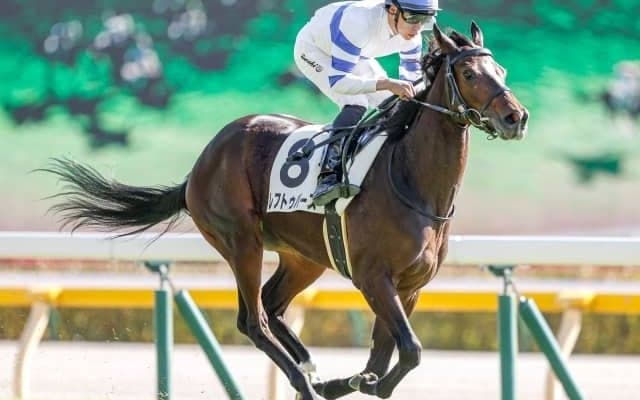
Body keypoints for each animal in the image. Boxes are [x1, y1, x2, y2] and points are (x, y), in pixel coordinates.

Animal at [42, 22, 528, 400]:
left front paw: (350, 381)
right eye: (469, 72)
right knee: (253, 320)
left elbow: (385, 358)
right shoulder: (374, 277)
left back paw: (313, 372)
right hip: (242, 242)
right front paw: (350, 382)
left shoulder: (410, 287)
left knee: (273, 308)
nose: (515, 117)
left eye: (501, 70)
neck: (413, 183)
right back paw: (305, 382)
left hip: (303, 257)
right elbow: (409, 350)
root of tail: (200, 164)